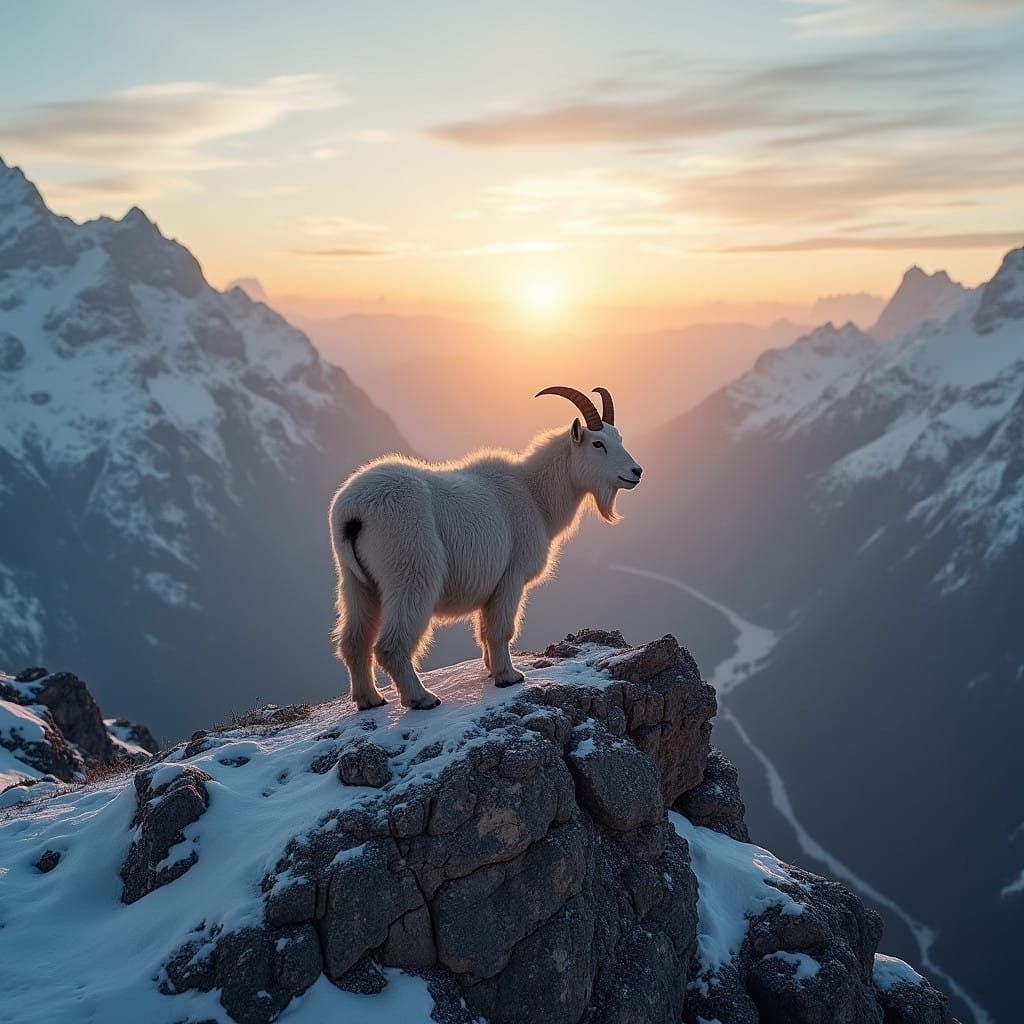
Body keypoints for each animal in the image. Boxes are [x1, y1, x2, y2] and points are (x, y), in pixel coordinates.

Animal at [329, 386, 643, 710]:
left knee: (353, 641)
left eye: (619, 438)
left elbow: (483, 630)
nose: (636, 471)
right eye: (597, 443)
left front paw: (492, 670)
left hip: (356, 583)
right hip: (410, 571)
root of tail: (354, 512)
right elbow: (501, 630)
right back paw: (422, 697)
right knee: (391, 643)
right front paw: (509, 676)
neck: (534, 495)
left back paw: (370, 699)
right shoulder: (511, 577)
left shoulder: (491, 587)